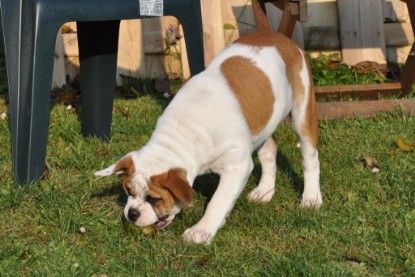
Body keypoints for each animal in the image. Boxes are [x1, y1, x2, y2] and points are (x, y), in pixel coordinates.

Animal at [96, 30, 324, 244]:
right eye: (129, 192)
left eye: (153, 199)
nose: (132, 213)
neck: (183, 135)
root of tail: (279, 37)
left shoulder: (237, 166)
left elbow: (218, 200)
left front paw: (201, 231)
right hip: (261, 125)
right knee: (269, 151)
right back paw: (265, 190)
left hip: (302, 113)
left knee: (310, 158)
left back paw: (311, 198)